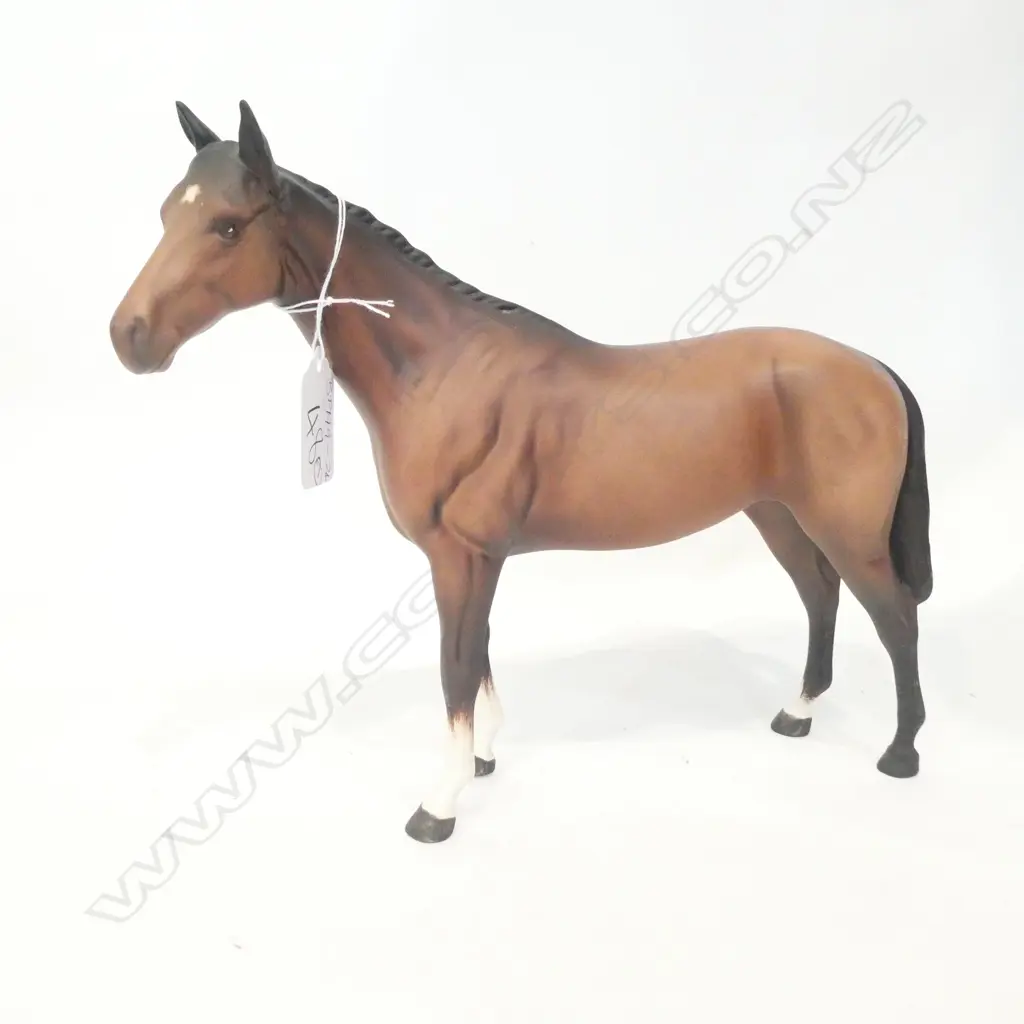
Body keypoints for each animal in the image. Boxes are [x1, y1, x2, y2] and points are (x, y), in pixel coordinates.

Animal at [109, 100, 932, 844]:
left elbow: (456, 666)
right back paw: (797, 714)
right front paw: (482, 758)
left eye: (227, 226)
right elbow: (479, 655)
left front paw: (438, 806)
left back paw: (900, 753)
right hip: (778, 516)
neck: (442, 370)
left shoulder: (461, 556)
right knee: (819, 597)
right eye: (165, 213)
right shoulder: (478, 560)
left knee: (893, 617)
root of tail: (873, 369)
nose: (128, 336)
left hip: (846, 530)